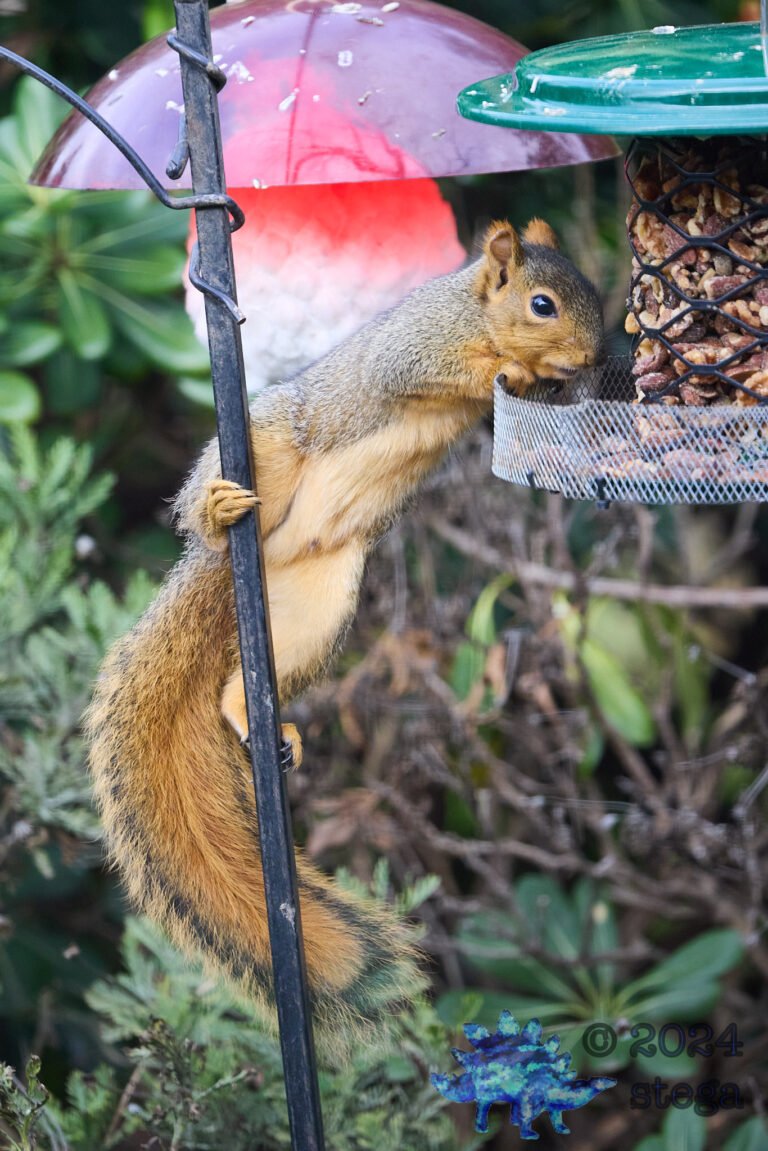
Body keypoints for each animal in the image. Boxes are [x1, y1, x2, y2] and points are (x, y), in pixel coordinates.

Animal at [85, 219, 604, 1057]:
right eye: (543, 303)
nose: (591, 357)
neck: (470, 309)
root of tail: (245, 566)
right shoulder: (417, 349)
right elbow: (457, 369)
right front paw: (518, 365)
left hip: (319, 598)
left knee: (244, 680)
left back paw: (248, 711)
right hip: (269, 444)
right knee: (207, 508)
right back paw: (219, 512)